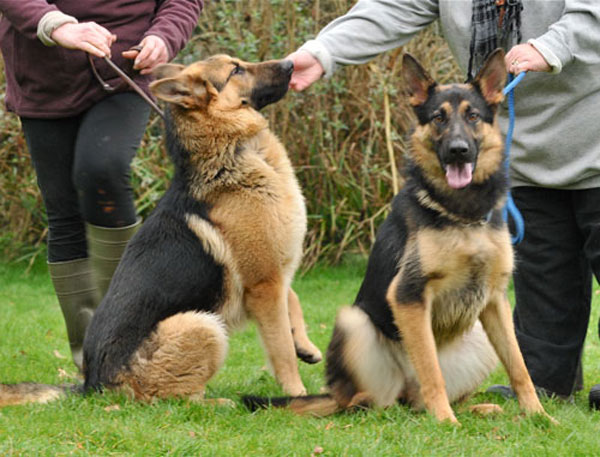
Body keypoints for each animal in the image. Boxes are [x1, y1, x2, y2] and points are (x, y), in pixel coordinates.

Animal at [244, 50, 552, 424]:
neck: (462, 215)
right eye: (438, 118)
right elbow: (431, 369)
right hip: (354, 322)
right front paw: (446, 422)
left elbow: (520, 367)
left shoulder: (494, 299)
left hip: (479, 335)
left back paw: (479, 407)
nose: (458, 150)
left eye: (473, 116)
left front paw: (539, 415)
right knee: (366, 400)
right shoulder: (409, 295)